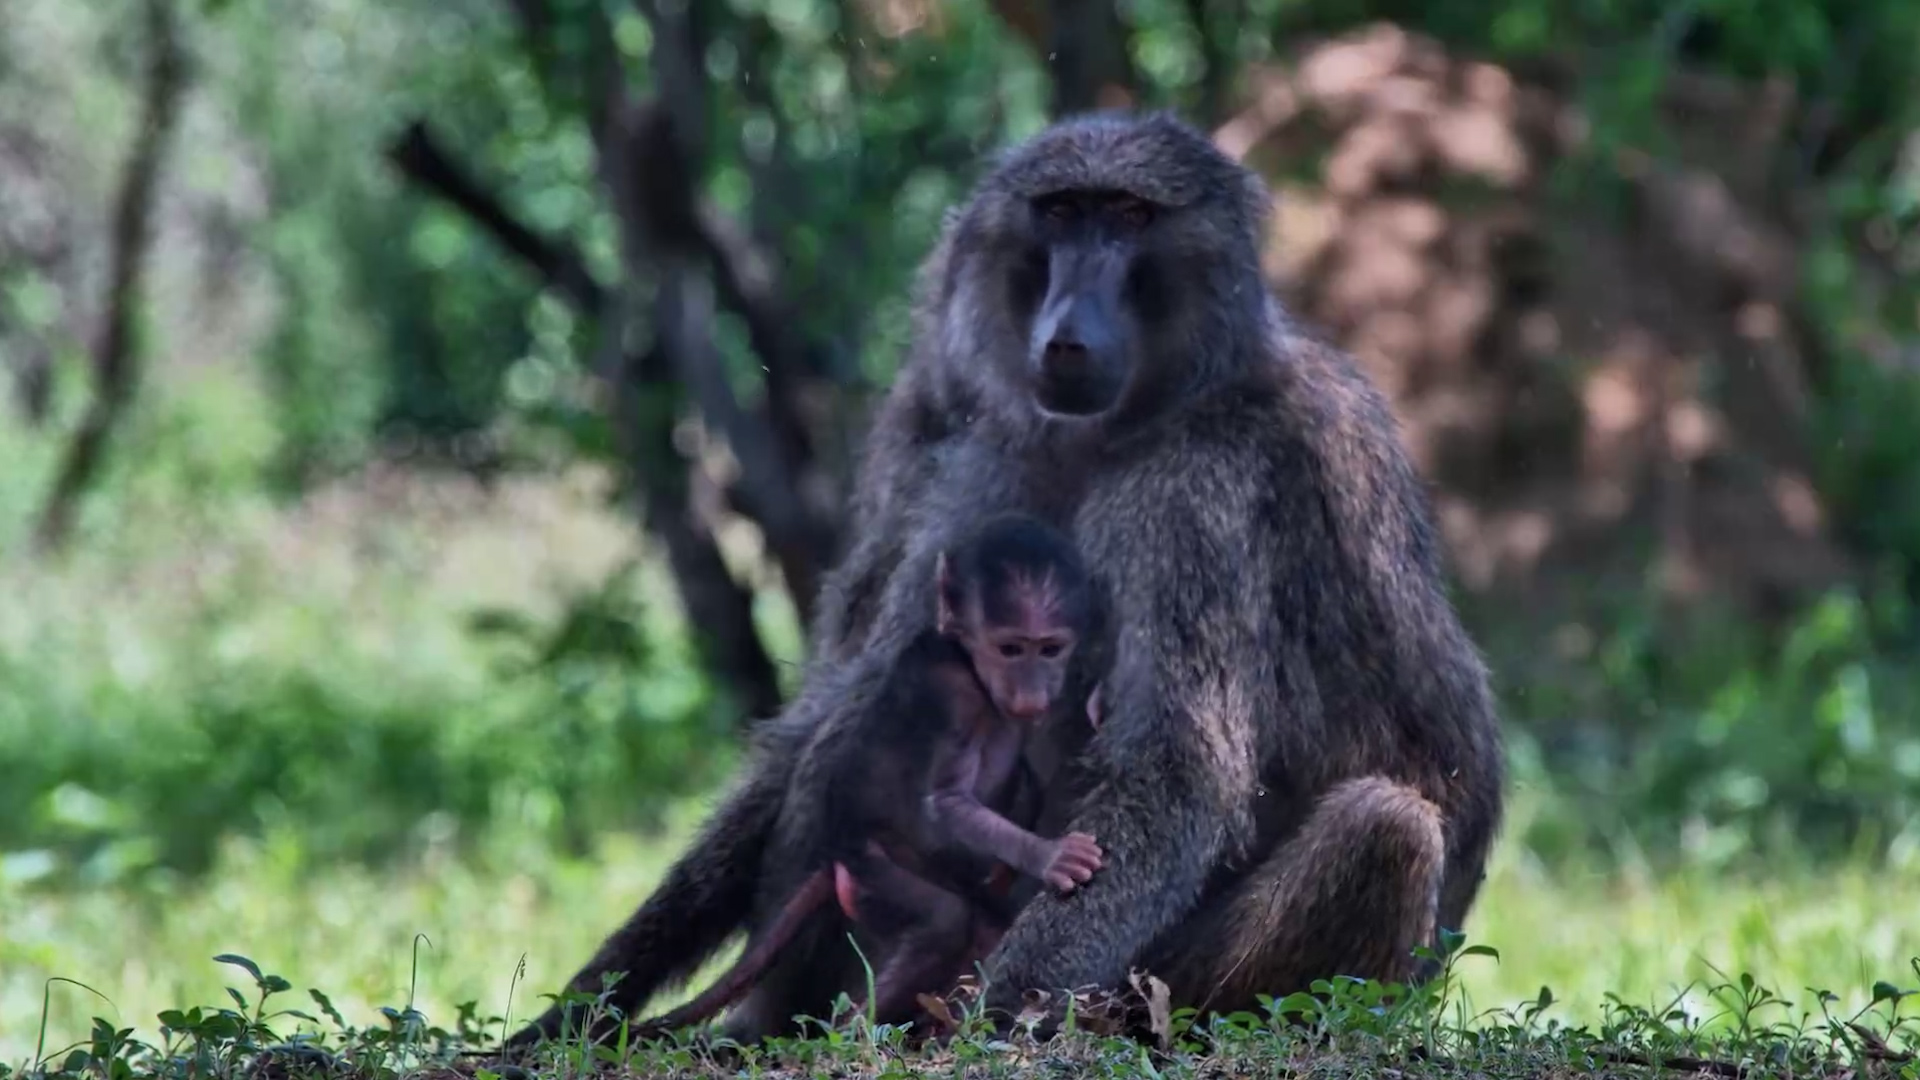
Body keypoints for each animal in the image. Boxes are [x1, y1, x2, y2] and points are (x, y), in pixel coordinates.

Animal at [620, 513, 1105, 1038]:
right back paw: (860, 1029)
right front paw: (1050, 856)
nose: (1032, 691)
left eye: (1050, 649)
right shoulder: (949, 692)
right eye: (1011, 648)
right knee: (940, 922)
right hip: (872, 865)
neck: (967, 662)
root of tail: (836, 854)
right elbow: (946, 801)